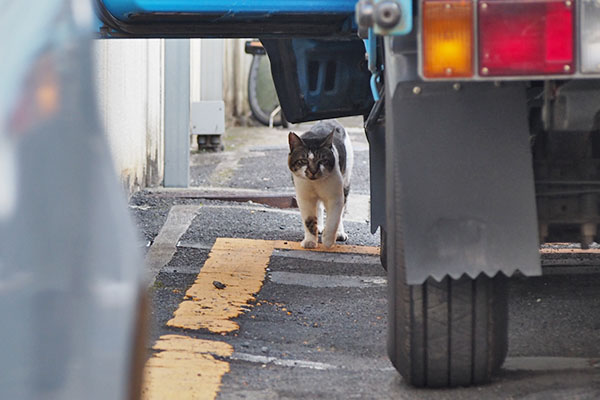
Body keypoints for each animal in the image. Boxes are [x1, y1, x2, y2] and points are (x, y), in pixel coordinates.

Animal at [288, 120, 354, 248]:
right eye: (303, 161)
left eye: (322, 160)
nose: (313, 171)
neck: (315, 184)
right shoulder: (304, 198)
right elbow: (308, 220)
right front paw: (309, 241)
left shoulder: (335, 198)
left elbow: (333, 220)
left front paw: (328, 240)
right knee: (318, 207)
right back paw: (318, 226)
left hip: (345, 182)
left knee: (340, 213)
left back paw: (339, 233)